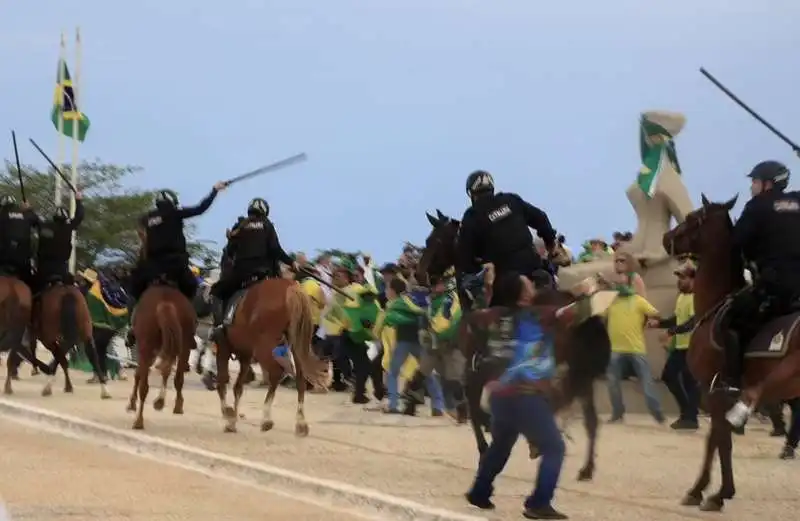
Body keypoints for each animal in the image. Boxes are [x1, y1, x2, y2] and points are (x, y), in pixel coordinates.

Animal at [128, 282, 198, 428]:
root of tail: (165, 304)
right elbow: (166, 371)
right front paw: (160, 401)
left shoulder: (145, 352)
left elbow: (138, 374)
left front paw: (131, 403)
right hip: (184, 346)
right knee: (176, 377)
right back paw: (174, 405)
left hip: (147, 348)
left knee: (144, 387)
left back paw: (139, 420)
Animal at [214, 276, 330, 434]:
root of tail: (291, 287)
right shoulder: (245, 355)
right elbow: (238, 387)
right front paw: (232, 422)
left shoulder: (224, 347)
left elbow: (222, 381)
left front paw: (228, 413)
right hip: (295, 344)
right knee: (300, 380)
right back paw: (301, 423)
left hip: (264, 347)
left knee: (276, 373)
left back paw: (266, 419)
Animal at [416, 210, 608, 480]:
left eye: (435, 240)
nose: (419, 274)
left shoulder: (478, 368)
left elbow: (475, 407)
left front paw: (485, 447)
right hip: (579, 370)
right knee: (589, 418)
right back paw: (585, 467)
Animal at [664, 195, 800, 512]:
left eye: (692, 217)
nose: (666, 238)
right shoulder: (715, 394)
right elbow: (717, 440)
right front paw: (715, 490)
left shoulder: (712, 390)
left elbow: (718, 440)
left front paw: (708, 491)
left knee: (756, 397)